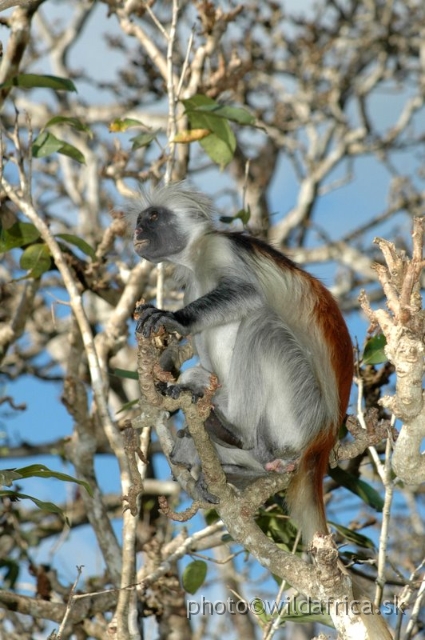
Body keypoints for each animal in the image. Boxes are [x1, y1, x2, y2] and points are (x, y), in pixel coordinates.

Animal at [132, 180, 352, 544]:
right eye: (140, 220)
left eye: (152, 217)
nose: (136, 230)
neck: (195, 258)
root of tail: (323, 440)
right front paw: (166, 373)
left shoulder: (220, 248)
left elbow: (248, 294)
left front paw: (173, 318)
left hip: (297, 414)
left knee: (261, 322)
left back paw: (234, 433)